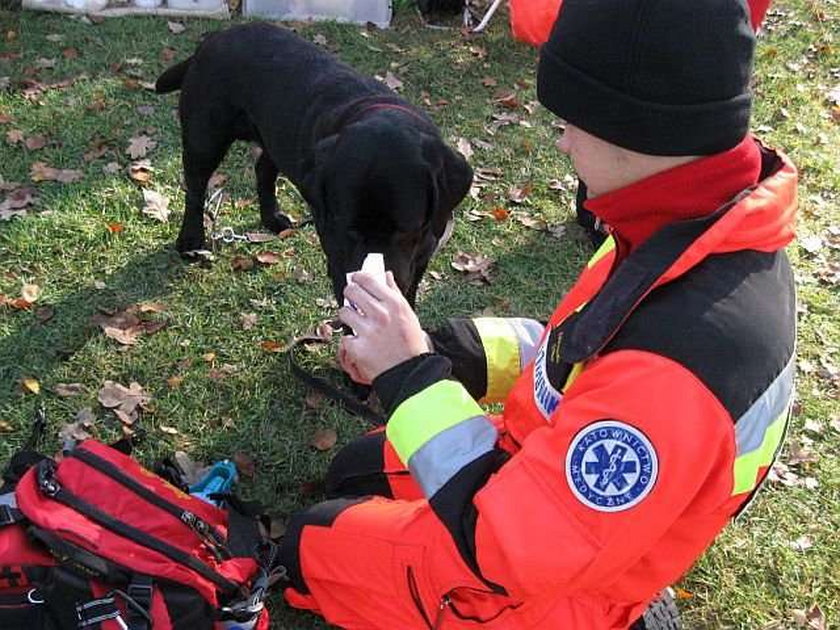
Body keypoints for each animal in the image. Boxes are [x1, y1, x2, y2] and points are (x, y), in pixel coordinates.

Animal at [158, 22, 472, 304]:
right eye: (347, 229)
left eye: (407, 230)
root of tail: (213, 38)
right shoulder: (336, 249)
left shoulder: (425, 249)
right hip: (204, 137)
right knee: (195, 189)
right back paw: (191, 240)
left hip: (275, 135)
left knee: (263, 169)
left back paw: (272, 218)